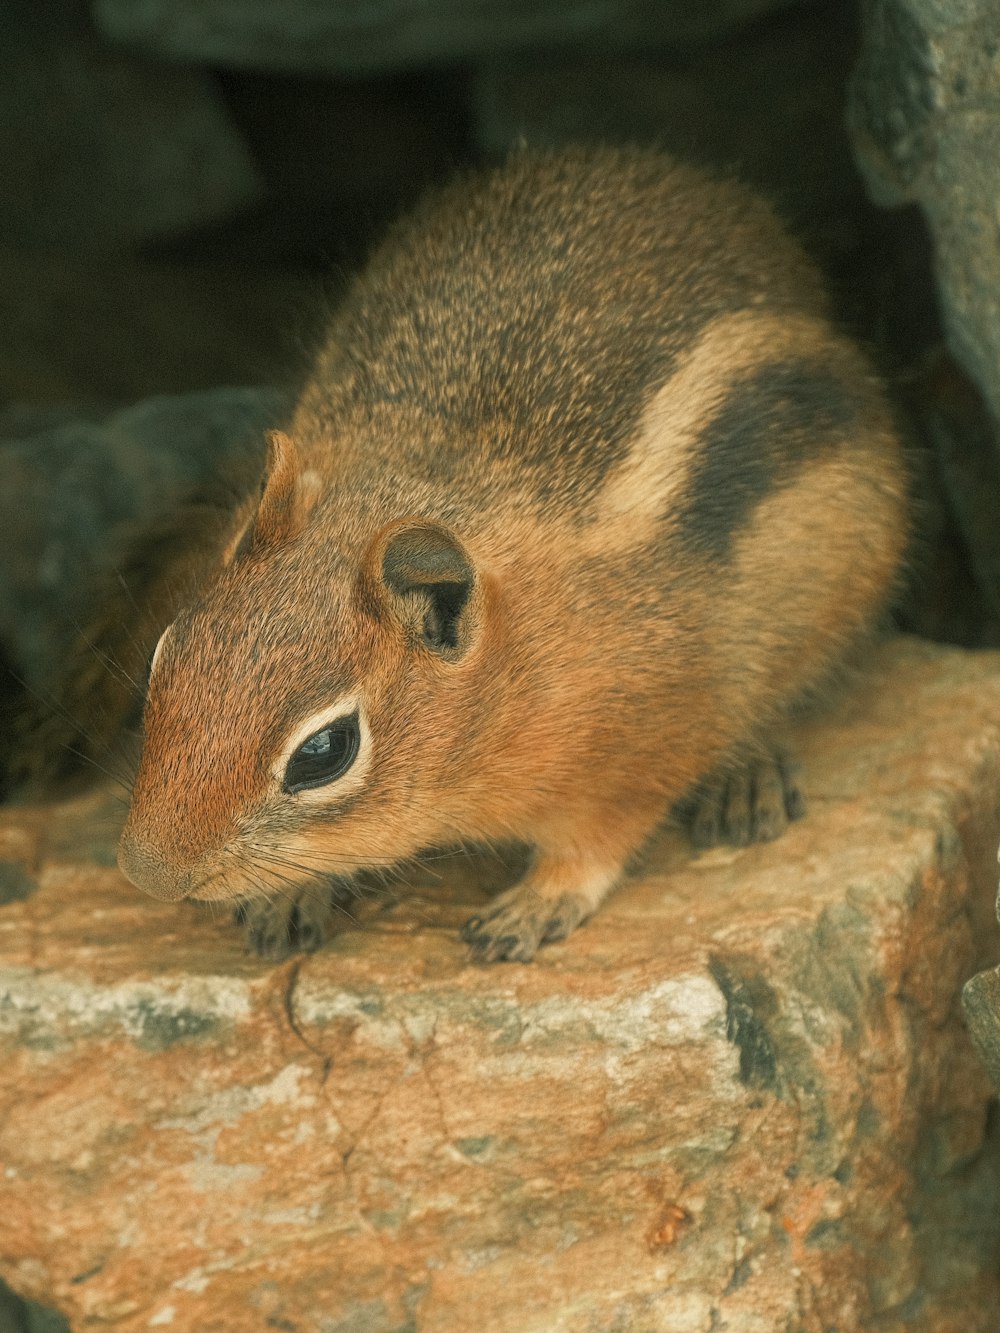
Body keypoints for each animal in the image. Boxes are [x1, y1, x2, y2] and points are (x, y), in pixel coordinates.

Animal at [115, 143, 906, 959]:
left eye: (324, 750)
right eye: (166, 655)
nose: (148, 874)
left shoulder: (647, 738)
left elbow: (598, 840)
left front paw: (537, 904)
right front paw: (290, 891)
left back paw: (746, 776)